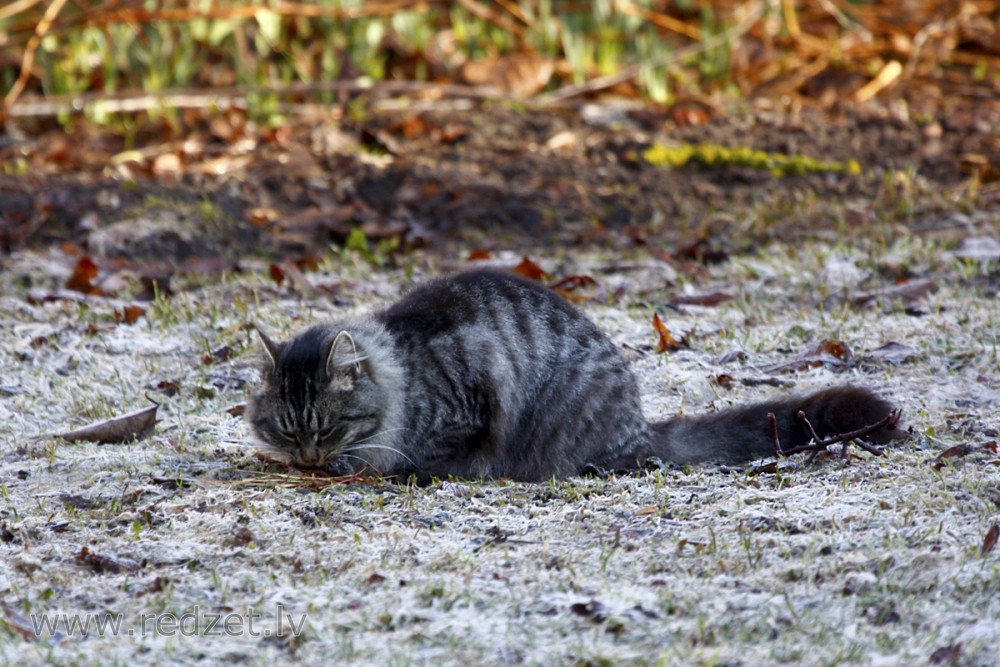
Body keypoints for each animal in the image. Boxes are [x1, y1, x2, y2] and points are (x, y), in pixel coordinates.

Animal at [246, 268, 904, 482]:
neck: (404, 375)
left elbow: (429, 456)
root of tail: (640, 424)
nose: (308, 457)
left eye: (326, 428)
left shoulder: (471, 392)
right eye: (287, 429)